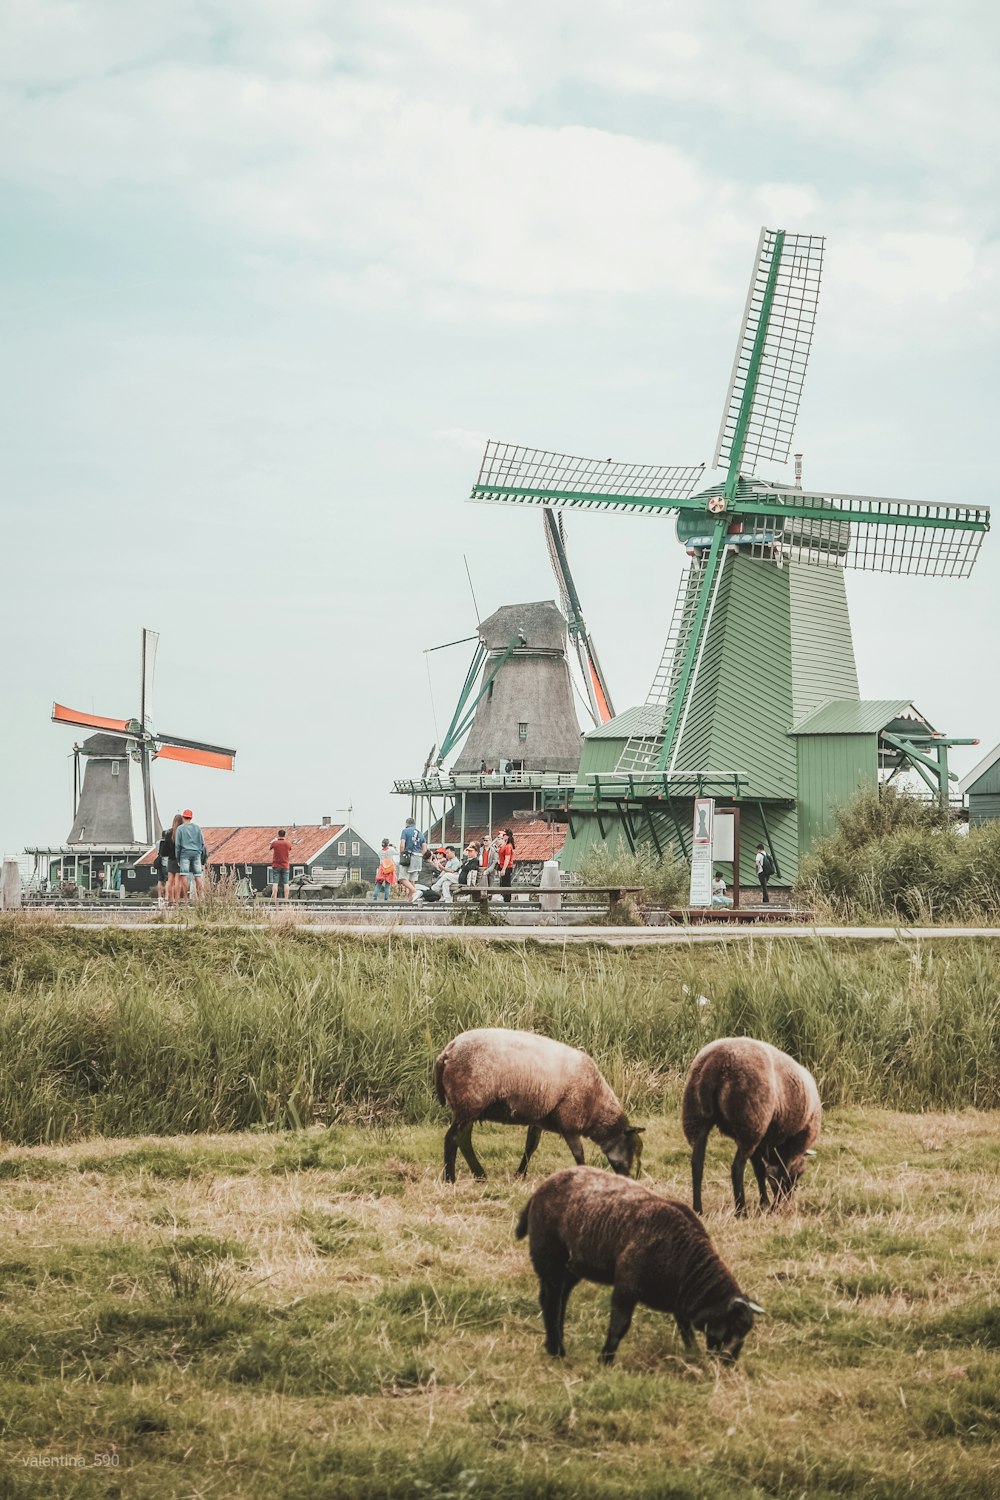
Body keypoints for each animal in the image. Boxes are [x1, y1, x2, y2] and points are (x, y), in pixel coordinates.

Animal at [434, 1032, 644, 1182]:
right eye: (631, 1148)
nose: (628, 1178)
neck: (596, 1103)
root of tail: (448, 1051)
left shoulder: (540, 1118)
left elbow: (531, 1146)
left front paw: (520, 1174)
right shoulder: (569, 1123)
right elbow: (579, 1153)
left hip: (470, 1108)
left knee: (464, 1140)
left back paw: (480, 1175)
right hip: (468, 1102)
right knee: (452, 1139)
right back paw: (450, 1179)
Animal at [512, 1164, 761, 1368]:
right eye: (732, 1327)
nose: (729, 1363)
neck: (683, 1257)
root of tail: (540, 1189)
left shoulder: (680, 1300)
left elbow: (685, 1328)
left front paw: (693, 1355)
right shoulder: (626, 1287)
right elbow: (620, 1326)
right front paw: (605, 1361)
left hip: (572, 1265)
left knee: (561, 1298)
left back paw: (555, 1345)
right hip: (549, 1257)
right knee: (551, 1300)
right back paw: (557, 1351)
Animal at [683, 1032, 827, 1218]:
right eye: (799, 1175)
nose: (789, 1199)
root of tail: (717, 1062)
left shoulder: (760, 1141)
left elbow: (760, 1170)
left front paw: (765, 1202)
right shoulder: (794, 1143)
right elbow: (781, 1174)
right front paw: (774, 1207)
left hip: (697, 1117)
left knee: (697, 1164)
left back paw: (698, 1209)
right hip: (749, 1122)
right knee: (737, 1168)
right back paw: (741, 1211)